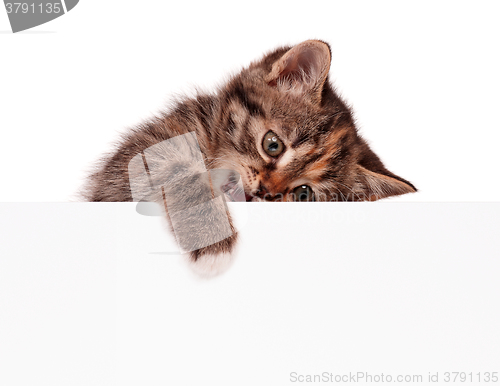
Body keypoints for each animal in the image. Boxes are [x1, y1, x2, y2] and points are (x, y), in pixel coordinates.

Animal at [83, 40, 418, 274]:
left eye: (304, 194)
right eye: (273, 145)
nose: (264, 191)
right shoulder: (137, 158)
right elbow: (181, 168)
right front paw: (212, 240)